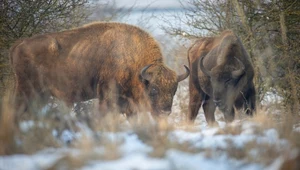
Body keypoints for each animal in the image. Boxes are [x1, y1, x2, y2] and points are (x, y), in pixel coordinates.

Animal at [9, 22, 190, 121]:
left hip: (41, 94)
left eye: (174, 90)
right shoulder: (106, 98)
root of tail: (20, 44)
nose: (165, 112)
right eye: (153, 90)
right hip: (26, 90)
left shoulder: (129, 107)